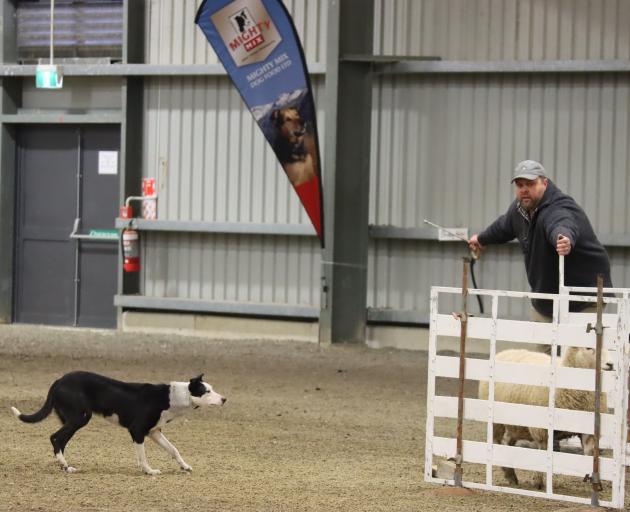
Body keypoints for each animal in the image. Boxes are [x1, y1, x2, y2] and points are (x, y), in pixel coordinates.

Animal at [478, 346, 612, 490]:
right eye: (588, 348)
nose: (610, 364)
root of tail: (505, 352)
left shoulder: (588, 431)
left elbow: (589, 452)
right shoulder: (542, 431)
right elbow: (542, 454)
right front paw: (537, 482)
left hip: (515, 425)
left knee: (508, 442)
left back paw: (511, 476)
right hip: (497, 423)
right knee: (497, 443)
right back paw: (508, 472)